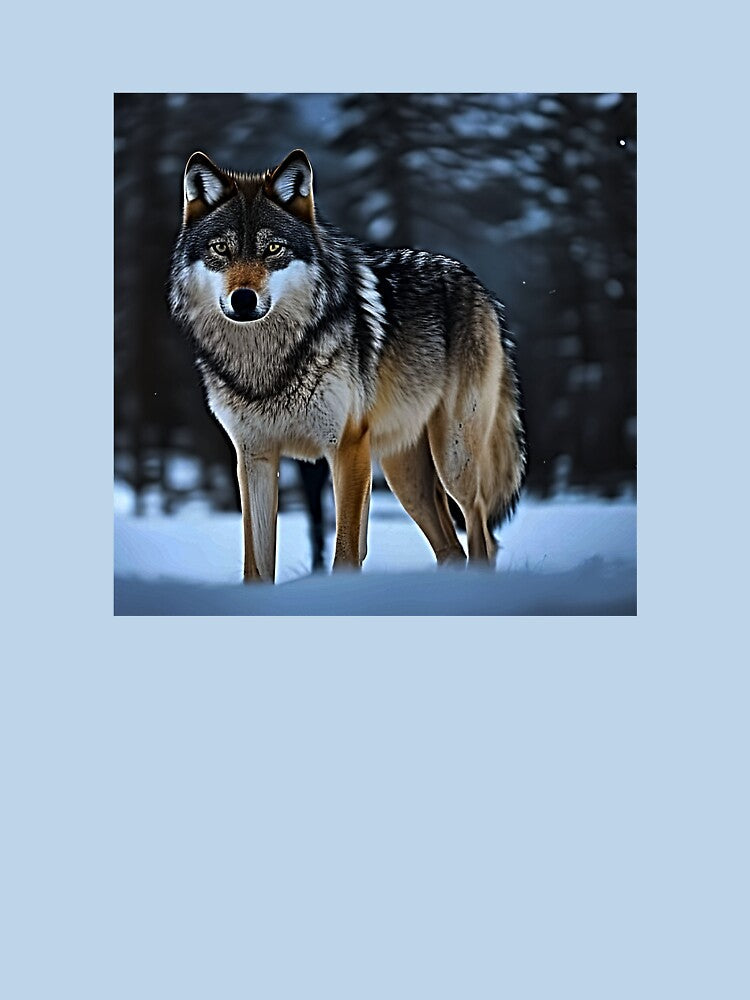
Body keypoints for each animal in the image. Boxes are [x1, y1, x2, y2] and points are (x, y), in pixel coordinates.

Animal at [168, 149, 526, 582]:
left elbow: (346, 551)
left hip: (454, 460)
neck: (267, 363)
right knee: (452, 549)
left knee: (482, 535)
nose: (243, 299)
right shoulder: (254, 457)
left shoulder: (347, 446)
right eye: (221, 249)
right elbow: (257, 565)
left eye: (273, 250)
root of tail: (480, 288)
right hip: (403, 473)